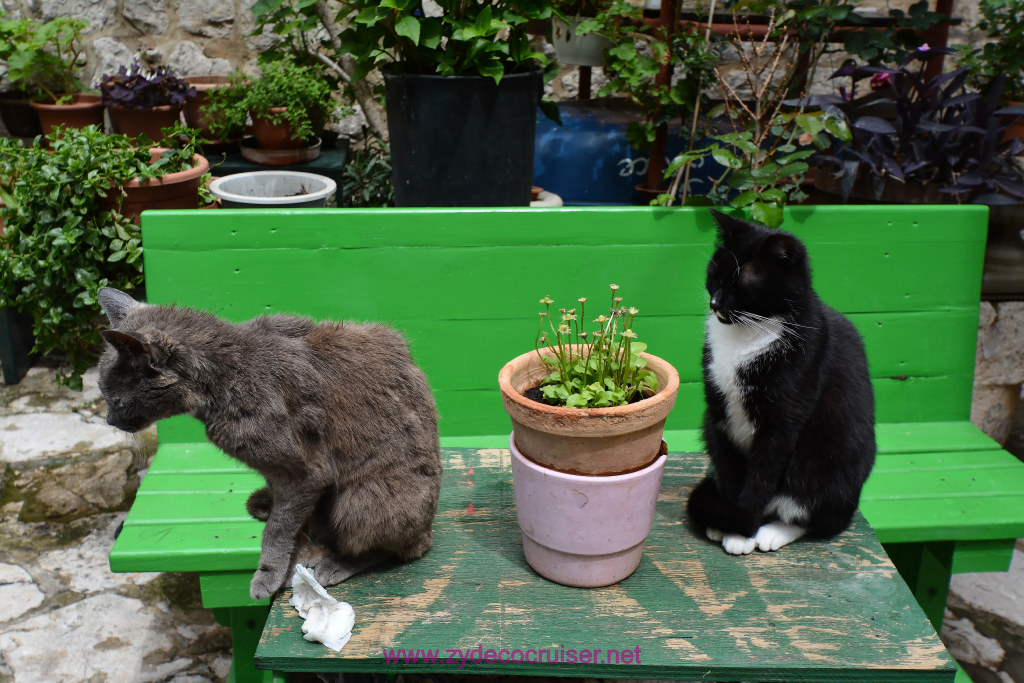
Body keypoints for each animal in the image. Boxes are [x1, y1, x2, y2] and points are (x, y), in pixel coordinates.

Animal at [96, 286, 444, 598]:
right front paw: (293, 559)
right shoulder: (278, 474)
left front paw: (268, 574)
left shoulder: (307, 472)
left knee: (401, 547)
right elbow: (289, 522)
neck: (225, 380)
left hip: (362, 501)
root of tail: (428, 524)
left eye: (117, 400)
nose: (109, 420)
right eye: (102, 392)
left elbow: (276, 529)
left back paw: (337, 564)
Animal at [688, 211, 872, 557]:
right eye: (714, 275)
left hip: (826, 462)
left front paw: (742, 530)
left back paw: (774, 530)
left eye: (740, 285)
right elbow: (730, 470)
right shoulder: (718, 413)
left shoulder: (784, 420)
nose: (715, 303)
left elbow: (763, 475)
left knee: (818, 517)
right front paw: (728, 519)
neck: (749, 334)